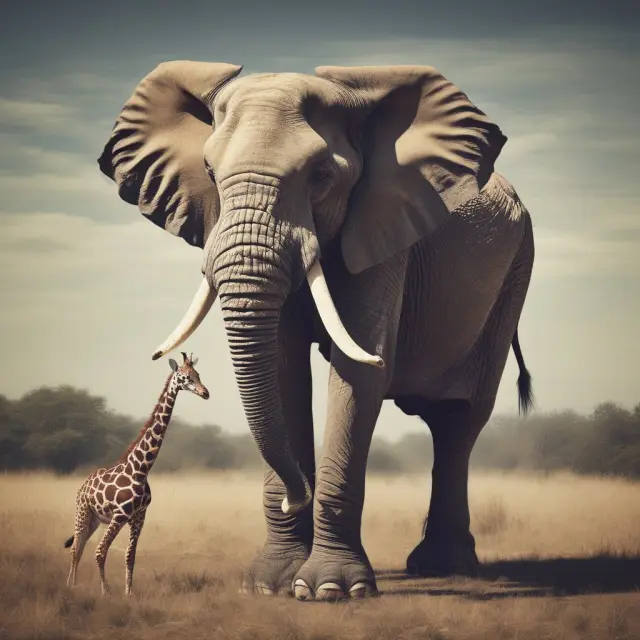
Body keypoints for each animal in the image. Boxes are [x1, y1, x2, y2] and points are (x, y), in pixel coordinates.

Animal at [63, 352, 209, 596]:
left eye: (198, 374)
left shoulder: (139, 517)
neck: (141, 469)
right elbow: (101, 552)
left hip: (95, 520)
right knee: (76, 548)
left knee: (79, 546)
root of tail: (83, 485)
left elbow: (130, 556)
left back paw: (71, 585)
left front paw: (128, 592)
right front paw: (106, 592)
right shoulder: (120, 515)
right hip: (82, 511)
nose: (205, 392)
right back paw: (71, 585)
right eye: (185, 377)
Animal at [98, 61, 534, 601]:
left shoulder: (383, 227)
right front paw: (271, 586)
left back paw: (443, 567)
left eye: (322, 176)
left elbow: (361, 370)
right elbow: (283, 371)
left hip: (515, 274)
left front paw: (330, 590)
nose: (294, 498)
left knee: (460, 420)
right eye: (210, 174)